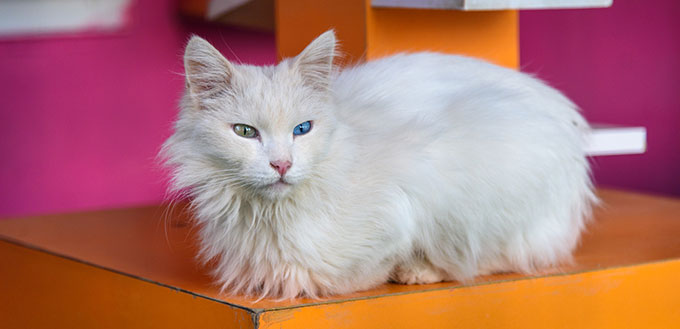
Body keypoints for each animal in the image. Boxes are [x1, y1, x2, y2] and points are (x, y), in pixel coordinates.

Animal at [161, 30, 596, 298]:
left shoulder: (410, 193)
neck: (271, 219)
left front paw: (402, 267)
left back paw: (422, 270)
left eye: (302, 129)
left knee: (501, 255)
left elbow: (359, 270)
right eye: (245, 132)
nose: (282, 164)